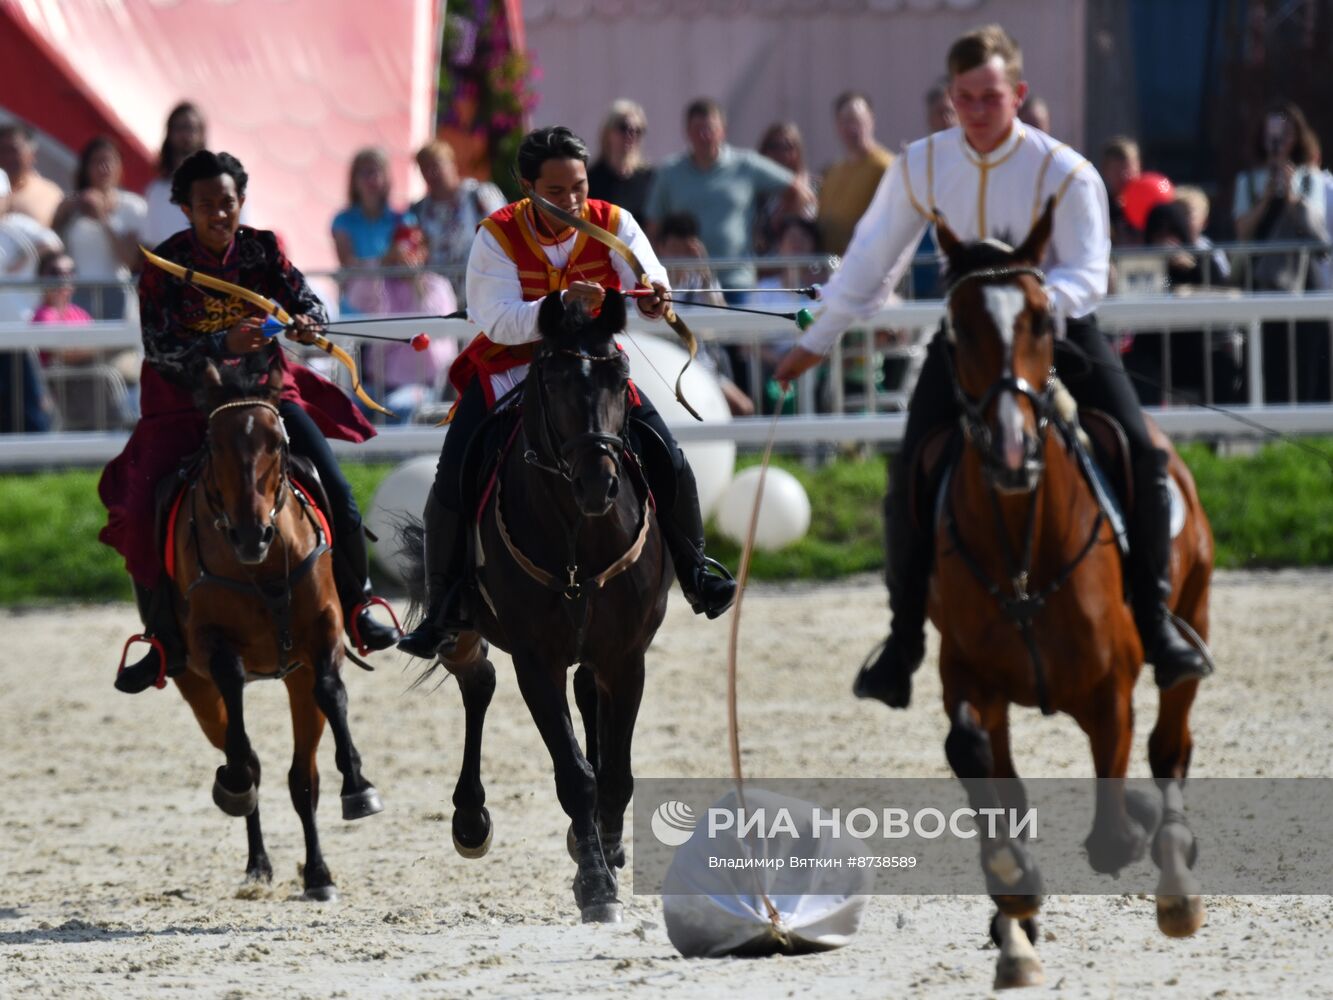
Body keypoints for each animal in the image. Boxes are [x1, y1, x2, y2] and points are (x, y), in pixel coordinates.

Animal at [170, 357, 381, 906]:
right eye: (214, 444)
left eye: (278, 442)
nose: (252, 534)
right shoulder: (211, 645)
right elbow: (237, 721)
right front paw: (235, 783)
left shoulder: (321, 634)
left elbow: (331, 692)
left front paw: (358, 786)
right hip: (194, 688)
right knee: (243, 754)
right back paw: (257, 860)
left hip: (295, 680)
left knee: (302, 778)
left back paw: (318, 873)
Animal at [394, 293, 666, 928]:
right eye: (556, 378)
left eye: (620, 374)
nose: (600, 483)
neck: (577, 535)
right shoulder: (536, 662)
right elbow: (576, 777)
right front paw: (596, 885)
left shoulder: (627, 657)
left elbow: (615, 775)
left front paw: (607, 850)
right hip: (463, 629)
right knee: (478, 682)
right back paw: (471, 819)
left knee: (586, 696)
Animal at [927, 208, 1210, 992]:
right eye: (957, 328)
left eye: (1039, 318)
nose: (1009, 450)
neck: (1024, 558)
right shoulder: (969, 679)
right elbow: (981, 766)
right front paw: (1013, 912)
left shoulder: (1108, 692)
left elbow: (1113, 828)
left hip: (1193, 610)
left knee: (1170, 743)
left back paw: (1175, 881)